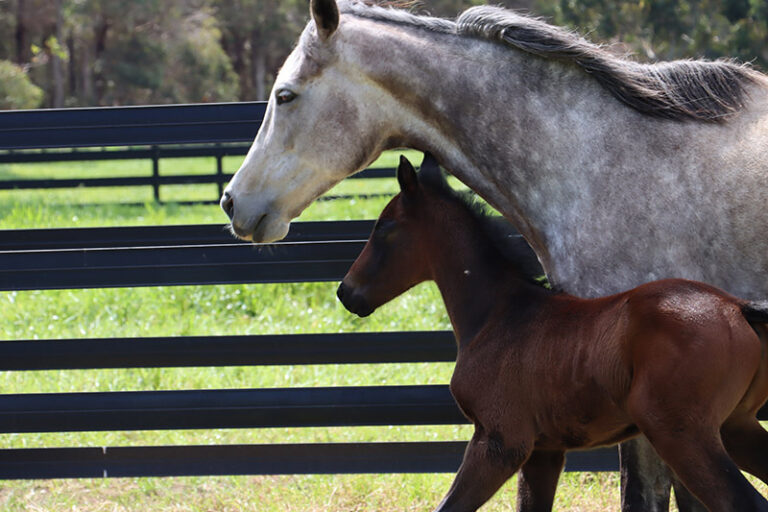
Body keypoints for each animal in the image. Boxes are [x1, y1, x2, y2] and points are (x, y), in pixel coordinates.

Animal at [337, 154, 768, 512]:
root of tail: (736, 307)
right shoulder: (544, 451)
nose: (346, 292)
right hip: (734, 428)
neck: (498, 315)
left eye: (384, 227)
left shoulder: (500, 442)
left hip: (682, 435)